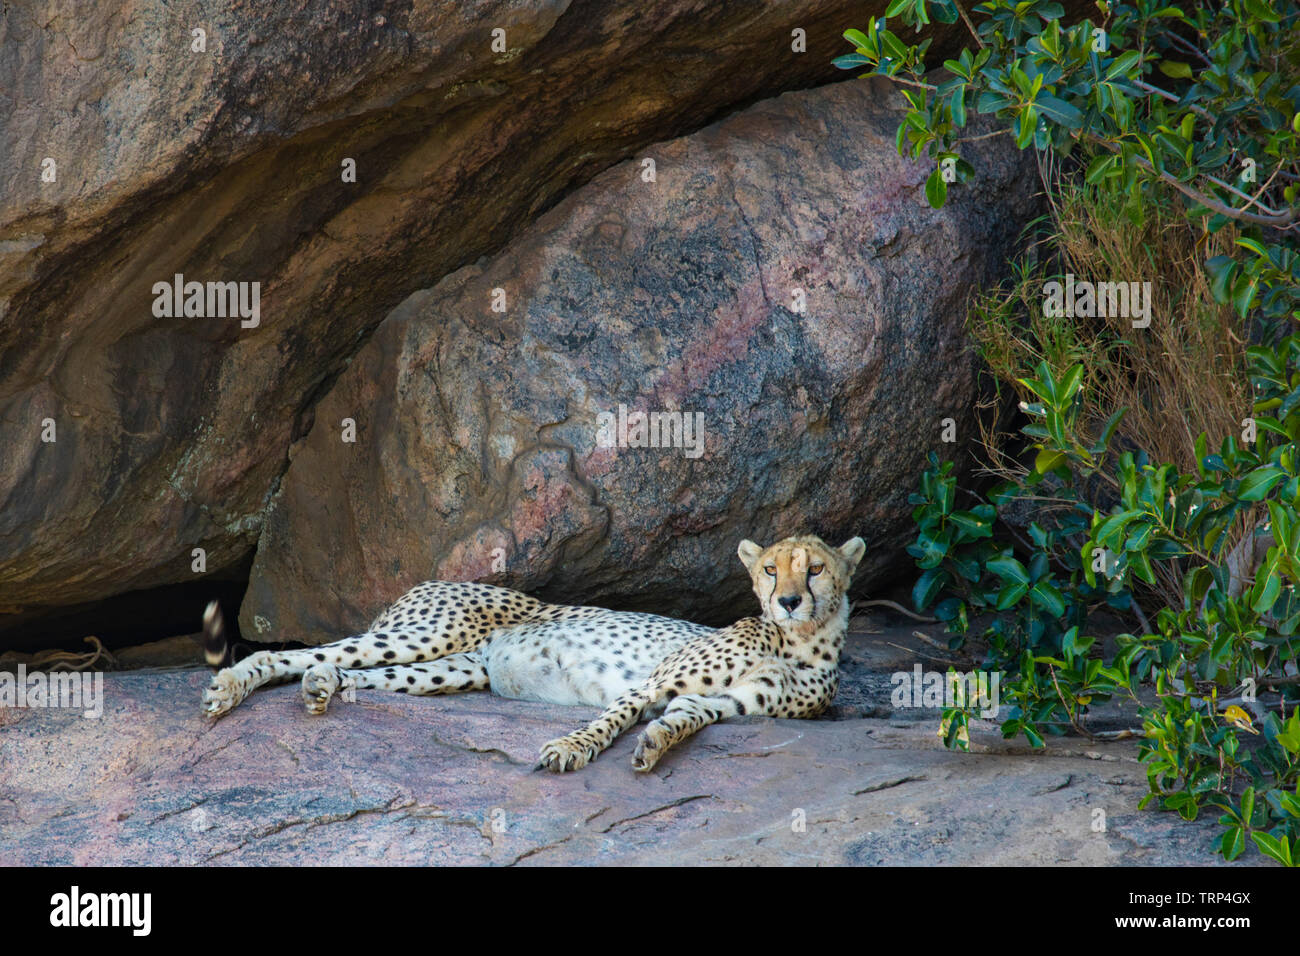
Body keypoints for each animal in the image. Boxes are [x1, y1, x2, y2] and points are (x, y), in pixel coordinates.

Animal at [201, 533, 865, 772]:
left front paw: (654, 745)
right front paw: (570, 751)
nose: (788, 600)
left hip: (451, 669)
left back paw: (324, 686)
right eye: (773, 569)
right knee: (302, 652)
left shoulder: (726, 704)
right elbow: (610, 719)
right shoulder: (654, 680)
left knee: (349, 667)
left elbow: (682, 720)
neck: (799, 642)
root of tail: (430, 580)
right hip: (427, 633)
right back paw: (231, 687)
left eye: (816, 568)